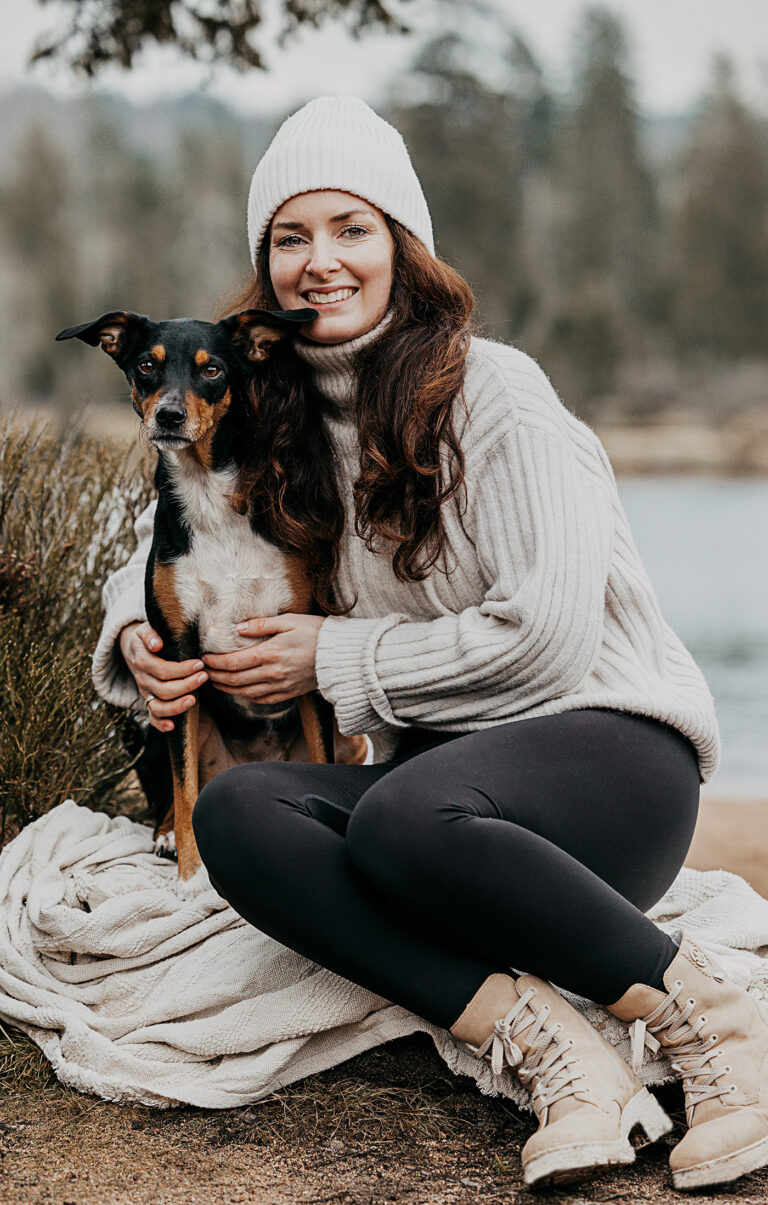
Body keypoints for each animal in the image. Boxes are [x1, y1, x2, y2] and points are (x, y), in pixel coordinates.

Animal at [55, 306, 366, 882]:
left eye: (213, 370)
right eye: (146, 365)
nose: (169, 416)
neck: (209, 497)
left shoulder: (300, 645)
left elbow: (320, 758)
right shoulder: (178, 657)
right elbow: (183, 786)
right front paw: (188, 879)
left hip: (349, 736)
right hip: (152, 720)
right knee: (176, 790)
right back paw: (166, 837)